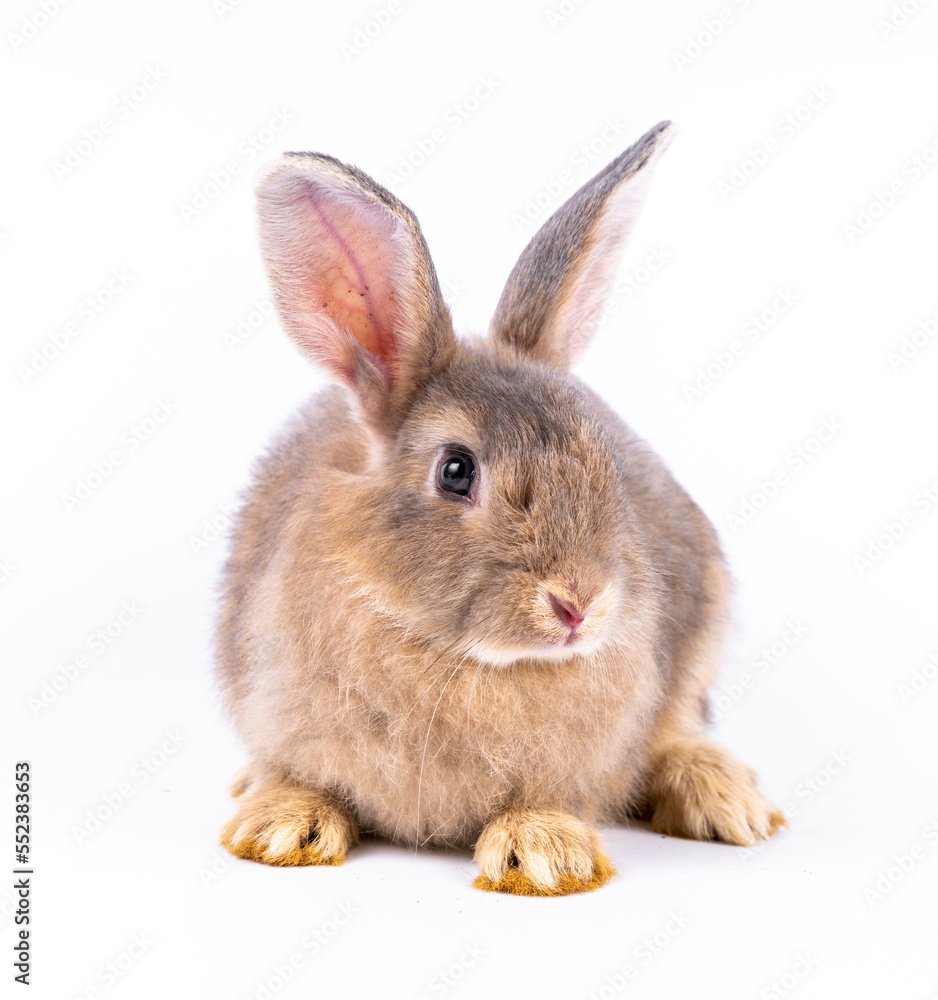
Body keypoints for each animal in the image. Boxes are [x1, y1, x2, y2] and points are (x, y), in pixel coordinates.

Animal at [215, 120, 785, 896]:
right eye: (456, 471)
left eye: (602, 453)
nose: (580, 604)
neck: (461, 657)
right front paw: (279, 828)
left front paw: (543, 854)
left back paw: (725, 799)